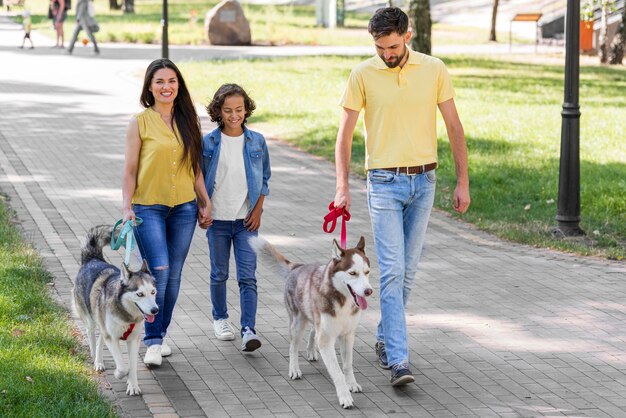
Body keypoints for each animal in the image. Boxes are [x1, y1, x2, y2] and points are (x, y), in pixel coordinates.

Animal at [72, 225, 158, 396]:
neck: (127, 315)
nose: (155, 310)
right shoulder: (112, 337)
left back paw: (99, 361)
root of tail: (92, 259)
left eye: (153, 292)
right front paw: (119, 373)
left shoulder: (133, 339)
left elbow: (132, 366)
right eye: (140, 294)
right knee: (93, 338)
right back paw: (96, 360)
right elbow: (123, 367)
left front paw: (132, 385)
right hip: (90, 320)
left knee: (100, 339)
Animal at [252, 237, 370, 410]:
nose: (369, 291)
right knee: (293, 347)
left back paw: (311, 350)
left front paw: (352, 384)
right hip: (297, 323)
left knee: (314, 331)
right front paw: (345, 397)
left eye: (367, 272)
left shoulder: (347, 335)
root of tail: (297, 266)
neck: (343, 301)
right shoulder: (326, 340)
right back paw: (294, 369)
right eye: (353, 273)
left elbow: (347, 365)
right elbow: (337, 373)